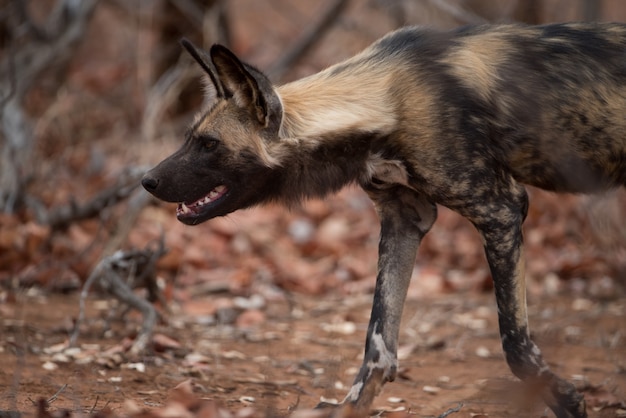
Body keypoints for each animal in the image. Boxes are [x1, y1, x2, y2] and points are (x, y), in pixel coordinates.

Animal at [141, 22, 624, 418]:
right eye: (189, 138)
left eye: (209, 145)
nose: (146, 180)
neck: (385, 101)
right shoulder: (405, 218)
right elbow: (378, 342)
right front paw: (350, 408)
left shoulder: (501, 211)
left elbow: (516, 347)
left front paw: (570, 402)